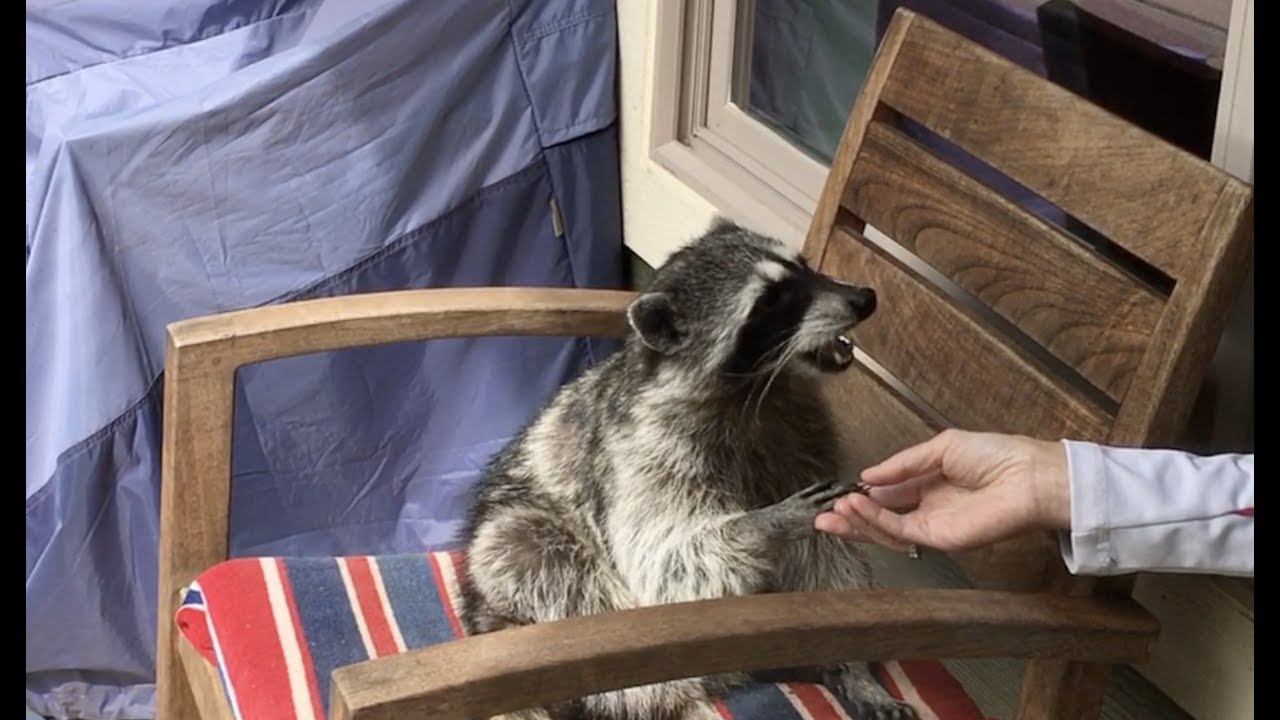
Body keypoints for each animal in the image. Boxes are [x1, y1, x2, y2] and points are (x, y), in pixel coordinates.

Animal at [458, 220, 915, 720]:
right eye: (771, 301)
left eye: (805, 267)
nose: (864, 298)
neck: (757, 388)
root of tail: (482, 615)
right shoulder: (645, 451)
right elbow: (665, 565)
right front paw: (762, 524)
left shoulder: (802, 438)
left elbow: (826, 557)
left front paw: (854, 667)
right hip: (522, 551)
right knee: (531, 548)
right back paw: (674, 694)